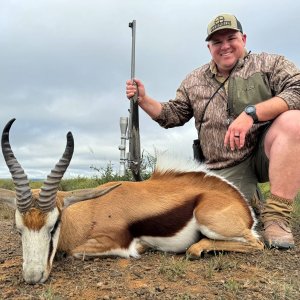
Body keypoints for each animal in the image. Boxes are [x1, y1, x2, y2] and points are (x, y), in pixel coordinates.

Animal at [0, 119, 262, 284]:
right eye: (18, 229)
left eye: (53, 225)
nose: (33, 277)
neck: (91, 211)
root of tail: (241, 204)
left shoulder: (111, 243)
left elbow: (77, 252)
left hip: (211, 222)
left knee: (253, 245)